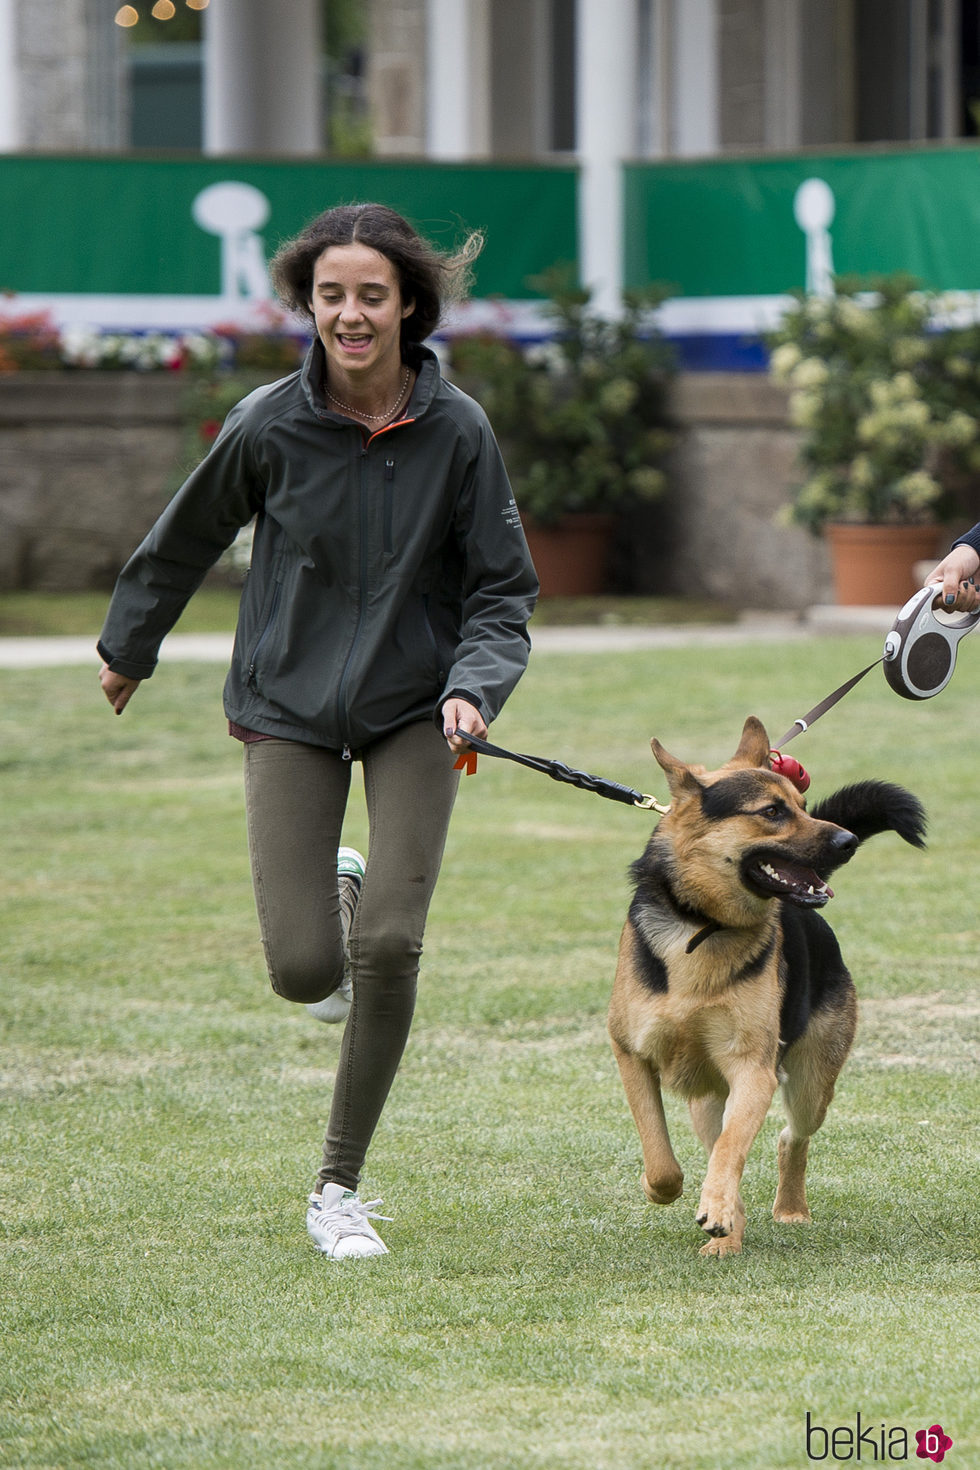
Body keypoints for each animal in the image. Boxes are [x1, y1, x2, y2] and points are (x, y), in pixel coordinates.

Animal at [608, 717, 922, 1258]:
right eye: (772, 812)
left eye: (801, 804)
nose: (847, 841)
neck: (703, 926)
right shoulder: (632, 1054)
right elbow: (662, 1157)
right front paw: (663, 1189)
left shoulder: (754, 1071)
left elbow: (732, 1151)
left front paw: (717, 1210)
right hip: (707, 1100)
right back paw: (729, 1231)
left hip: (811, 1082)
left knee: (787, 1137)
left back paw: (779, 1211)